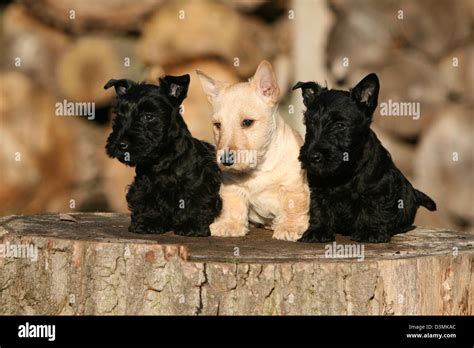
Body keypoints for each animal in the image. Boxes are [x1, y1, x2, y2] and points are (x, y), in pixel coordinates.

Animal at [104, 74, 221, 237]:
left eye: (149, 116)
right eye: (119, 114)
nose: (120, 145)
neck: (162, 160)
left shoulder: (200, 184)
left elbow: (196, 201)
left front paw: (191, 225)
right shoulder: (144, 186)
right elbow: (148, 202)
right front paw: (148, 222)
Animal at [195, 60, 310, 239]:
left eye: (247, 122)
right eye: (218, 125)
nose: (225, 160)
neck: (259, 166)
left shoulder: (292, 186)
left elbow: (293, 206)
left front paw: (290, 227)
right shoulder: (231, 186)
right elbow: (232, 206)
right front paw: (229, 224)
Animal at [292, 73, 436, 242]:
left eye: (339, 125)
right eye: (309, 123)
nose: (312, 156)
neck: (345, 170)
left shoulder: (379, 187)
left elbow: (373, 208)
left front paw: (370, 231)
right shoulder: (318, 188)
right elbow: (319, 208)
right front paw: (317, 231)